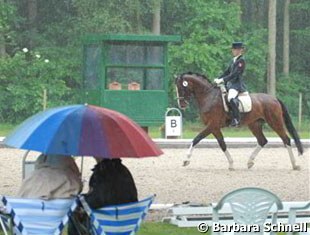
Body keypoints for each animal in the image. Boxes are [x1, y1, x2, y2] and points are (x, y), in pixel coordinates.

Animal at [176, 72, 304, 171]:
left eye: (182, 88)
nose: (182, 105)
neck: (208, 96)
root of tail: (274, 98)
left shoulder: (212, 125)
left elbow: (196, 139)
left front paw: (186, 160)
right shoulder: (215, 128)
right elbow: (222, 144)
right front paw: (231, 164)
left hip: (275, 122)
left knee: (286, 139)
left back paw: (295, 165)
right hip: (254, 124)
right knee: (262, 140)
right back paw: (250, 162)